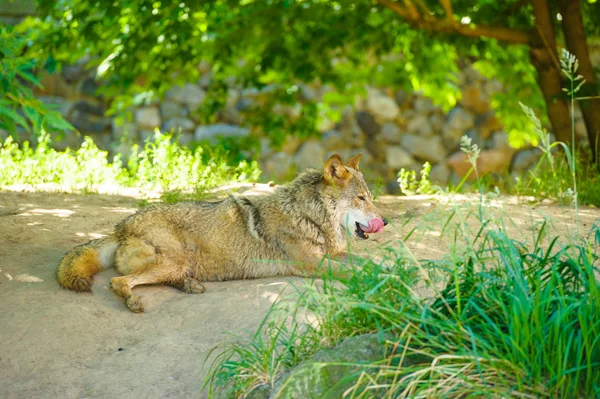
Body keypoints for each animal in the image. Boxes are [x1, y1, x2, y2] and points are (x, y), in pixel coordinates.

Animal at [57, 153, 390, 312]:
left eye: (370, 197)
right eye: (361, 199)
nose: (385, 222)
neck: (309, 215)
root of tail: (121, 226)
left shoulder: (335, 254)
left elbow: (371, 263)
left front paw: (393, 269)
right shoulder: (313, 264)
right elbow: (357, 272)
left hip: (178, 263)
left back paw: (190, 286)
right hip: (173, 260)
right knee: (119, 281)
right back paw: (134, 301)